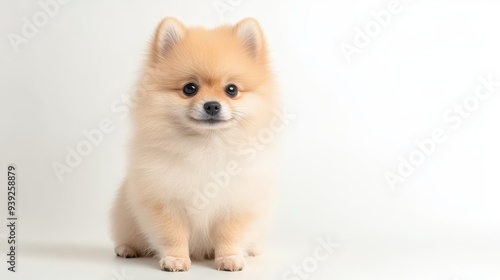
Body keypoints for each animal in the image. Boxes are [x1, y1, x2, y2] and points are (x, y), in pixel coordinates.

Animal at [109, 17, 280, 272]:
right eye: (190, 88)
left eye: (232, 90)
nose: (212, 105)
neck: (206, 146)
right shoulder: (165, 201)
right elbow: (173, 234)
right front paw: (176, 259)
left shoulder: (236, 202)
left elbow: (229, 235)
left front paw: (229, 258)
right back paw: (128, 248)